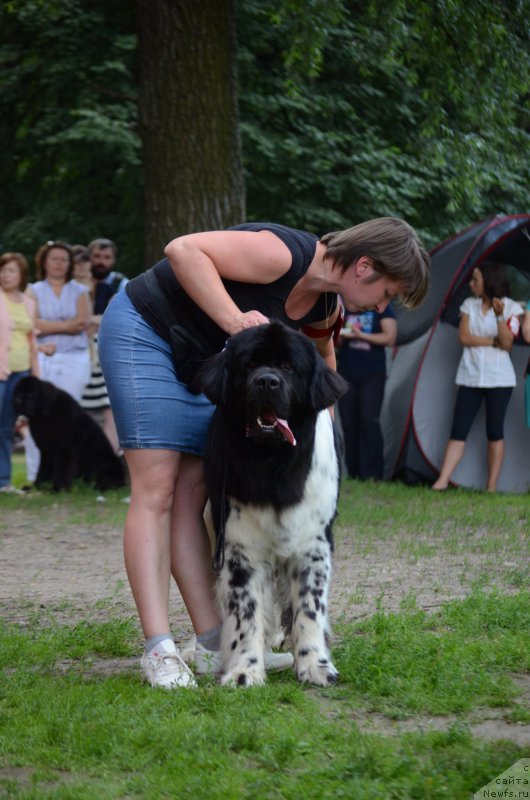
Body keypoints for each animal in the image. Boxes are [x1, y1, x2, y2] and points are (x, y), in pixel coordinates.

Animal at [194, 318, 346, 688]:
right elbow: (245, 612)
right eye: (249, 365)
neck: (273, 464)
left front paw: (315, 665)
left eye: (289, 366)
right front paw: (244, 671)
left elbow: (309, 607)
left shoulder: (313, 544)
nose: (267, 380)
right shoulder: (239, 548)